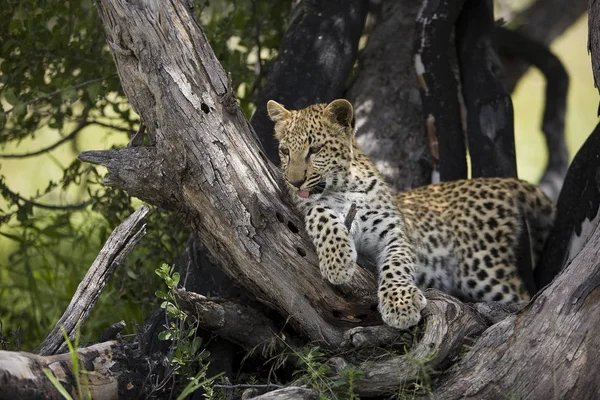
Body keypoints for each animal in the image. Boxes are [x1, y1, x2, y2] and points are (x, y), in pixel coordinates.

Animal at [266, 98, 552, 330]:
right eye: (285, 151)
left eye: (314, 149)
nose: (294, 182)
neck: (342, 187)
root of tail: (500, 182)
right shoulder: (308, 207)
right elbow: (321, 214)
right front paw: (338, 262)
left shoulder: (394, 233)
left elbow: (396, 264)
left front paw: (400, 305)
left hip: (483, 270)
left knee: (521, 298)